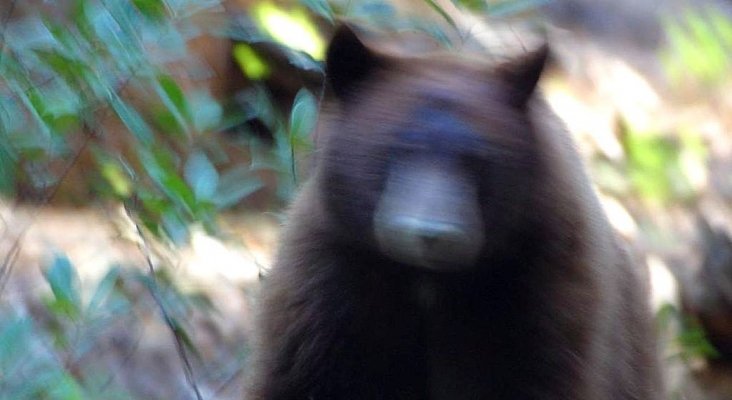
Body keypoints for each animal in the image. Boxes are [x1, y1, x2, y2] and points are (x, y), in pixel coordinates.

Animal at [246, 25, 664, 400]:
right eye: (398, 149)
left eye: (478, 160)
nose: (432, 234)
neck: (428, 281)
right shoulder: (326, 288)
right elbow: (307, 379)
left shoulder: (544, 297)